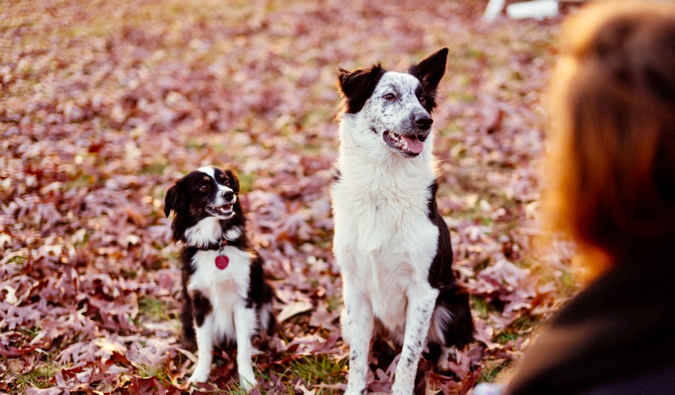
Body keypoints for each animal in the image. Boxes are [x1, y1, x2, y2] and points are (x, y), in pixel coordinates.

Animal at [165, 166, 276, 390]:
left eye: (226, 182)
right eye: (203, 186)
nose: (229, 194)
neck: (216, 246)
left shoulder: (244, 300)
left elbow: (243, 347)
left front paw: (247, 381)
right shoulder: (199, 302)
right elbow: (204, 346)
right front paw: (199, 377)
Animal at [332, 48, 476, 394]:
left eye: (423, 99)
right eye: (389, 95)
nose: (425, 120)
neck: (382, 186)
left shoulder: (424, 291)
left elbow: (410, 358)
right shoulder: (355, 289)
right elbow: (358, 357)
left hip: (451, 301)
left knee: (447, 341)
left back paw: (447, 362)